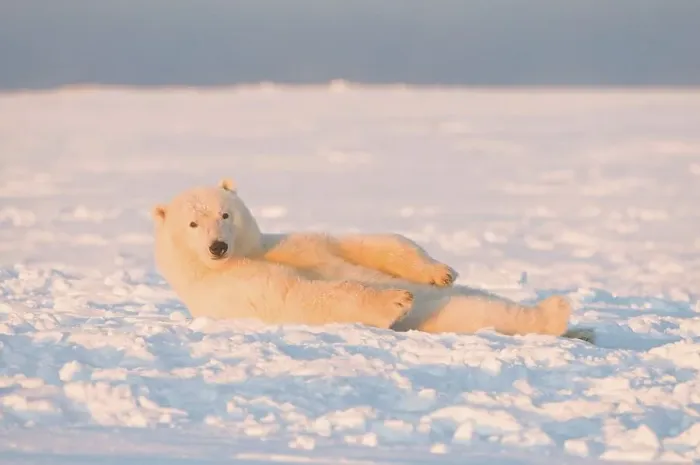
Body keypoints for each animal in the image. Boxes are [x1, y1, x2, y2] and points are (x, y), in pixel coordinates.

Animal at [151, 178, 588, 340]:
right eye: (193, 223)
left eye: (225, 214)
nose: (217, 246)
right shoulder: (233, 288)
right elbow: (298, 296)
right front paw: (394, 299)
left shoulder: (283, 243)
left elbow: (362, 244)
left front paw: (439, 271)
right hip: (439, 317)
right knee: (471, 311)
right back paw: (557, 316)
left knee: (484, 301)